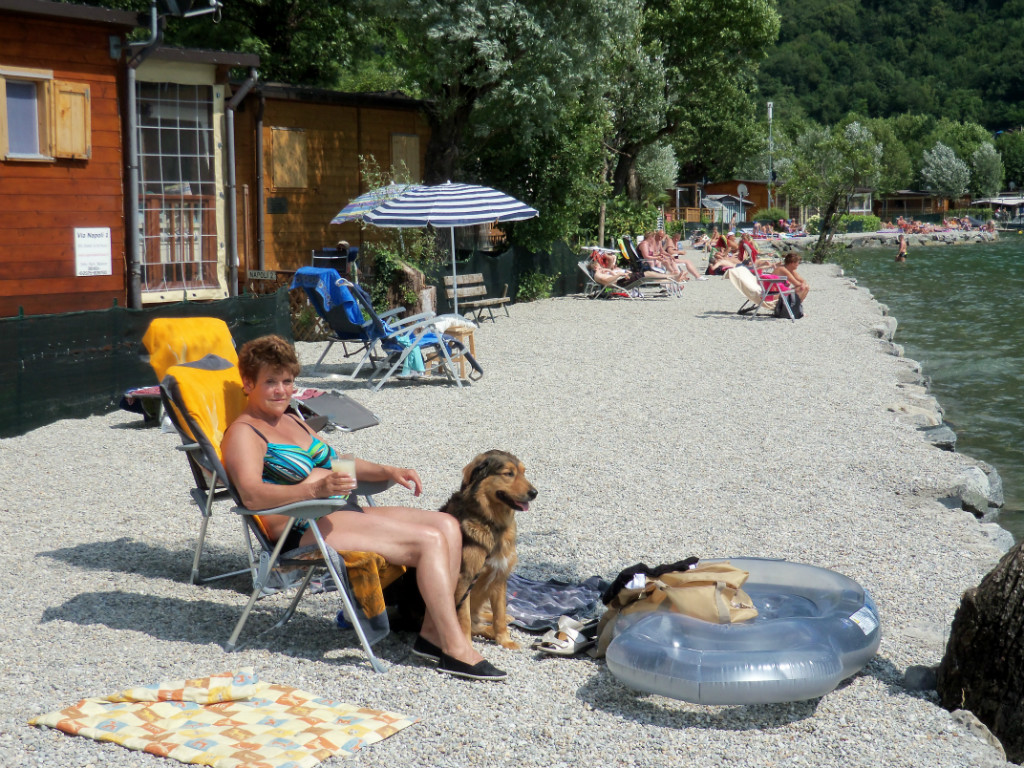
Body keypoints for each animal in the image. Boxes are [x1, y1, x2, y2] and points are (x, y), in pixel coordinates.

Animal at [439, 450, 537, 649]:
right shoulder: (465, 579)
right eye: (509, 473)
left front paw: (504, 640)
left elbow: (499, 613)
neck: (491, 523)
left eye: (523, 472)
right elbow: (464, 619)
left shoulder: (500, 575)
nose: (534, 493)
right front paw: (467, 647)